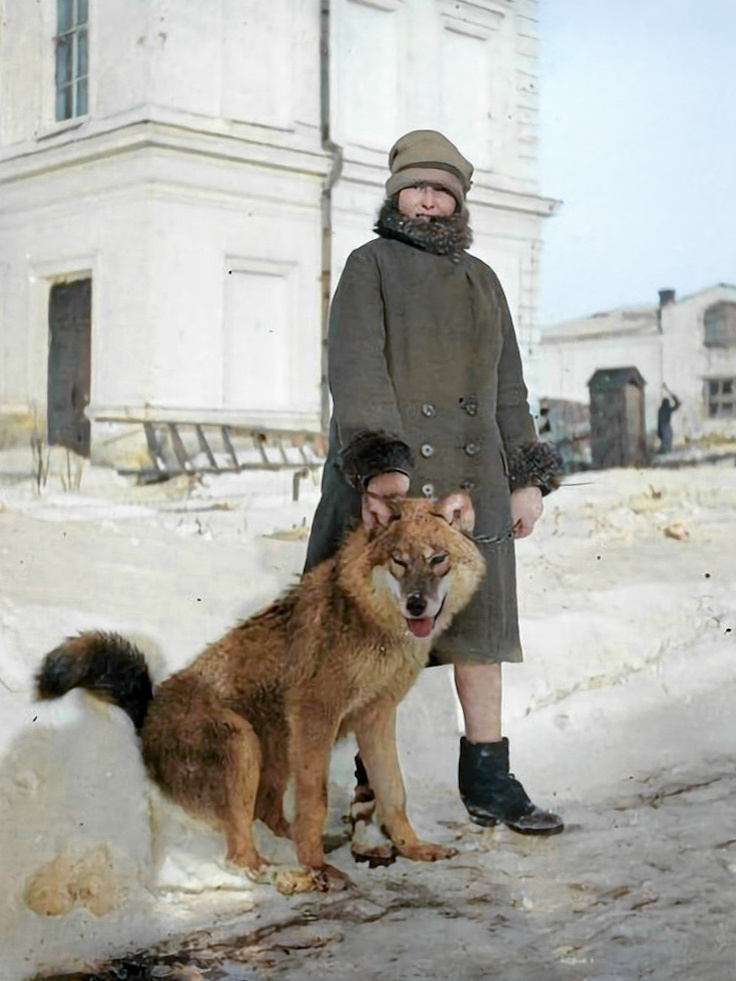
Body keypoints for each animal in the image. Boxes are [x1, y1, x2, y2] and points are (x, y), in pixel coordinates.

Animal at [36, 490, 484, 888]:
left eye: (438, 559)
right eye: (399, 562)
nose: (416, 604)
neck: (377, 630)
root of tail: (145, 719)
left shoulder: (376, 716)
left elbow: (394, 792)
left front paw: (414, 848)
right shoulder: (316, 716)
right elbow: (315, 802)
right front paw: (318, 868)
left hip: (276, 742)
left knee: (266, 814)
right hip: (243, 741)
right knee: (239, 855)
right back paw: (285, 874)